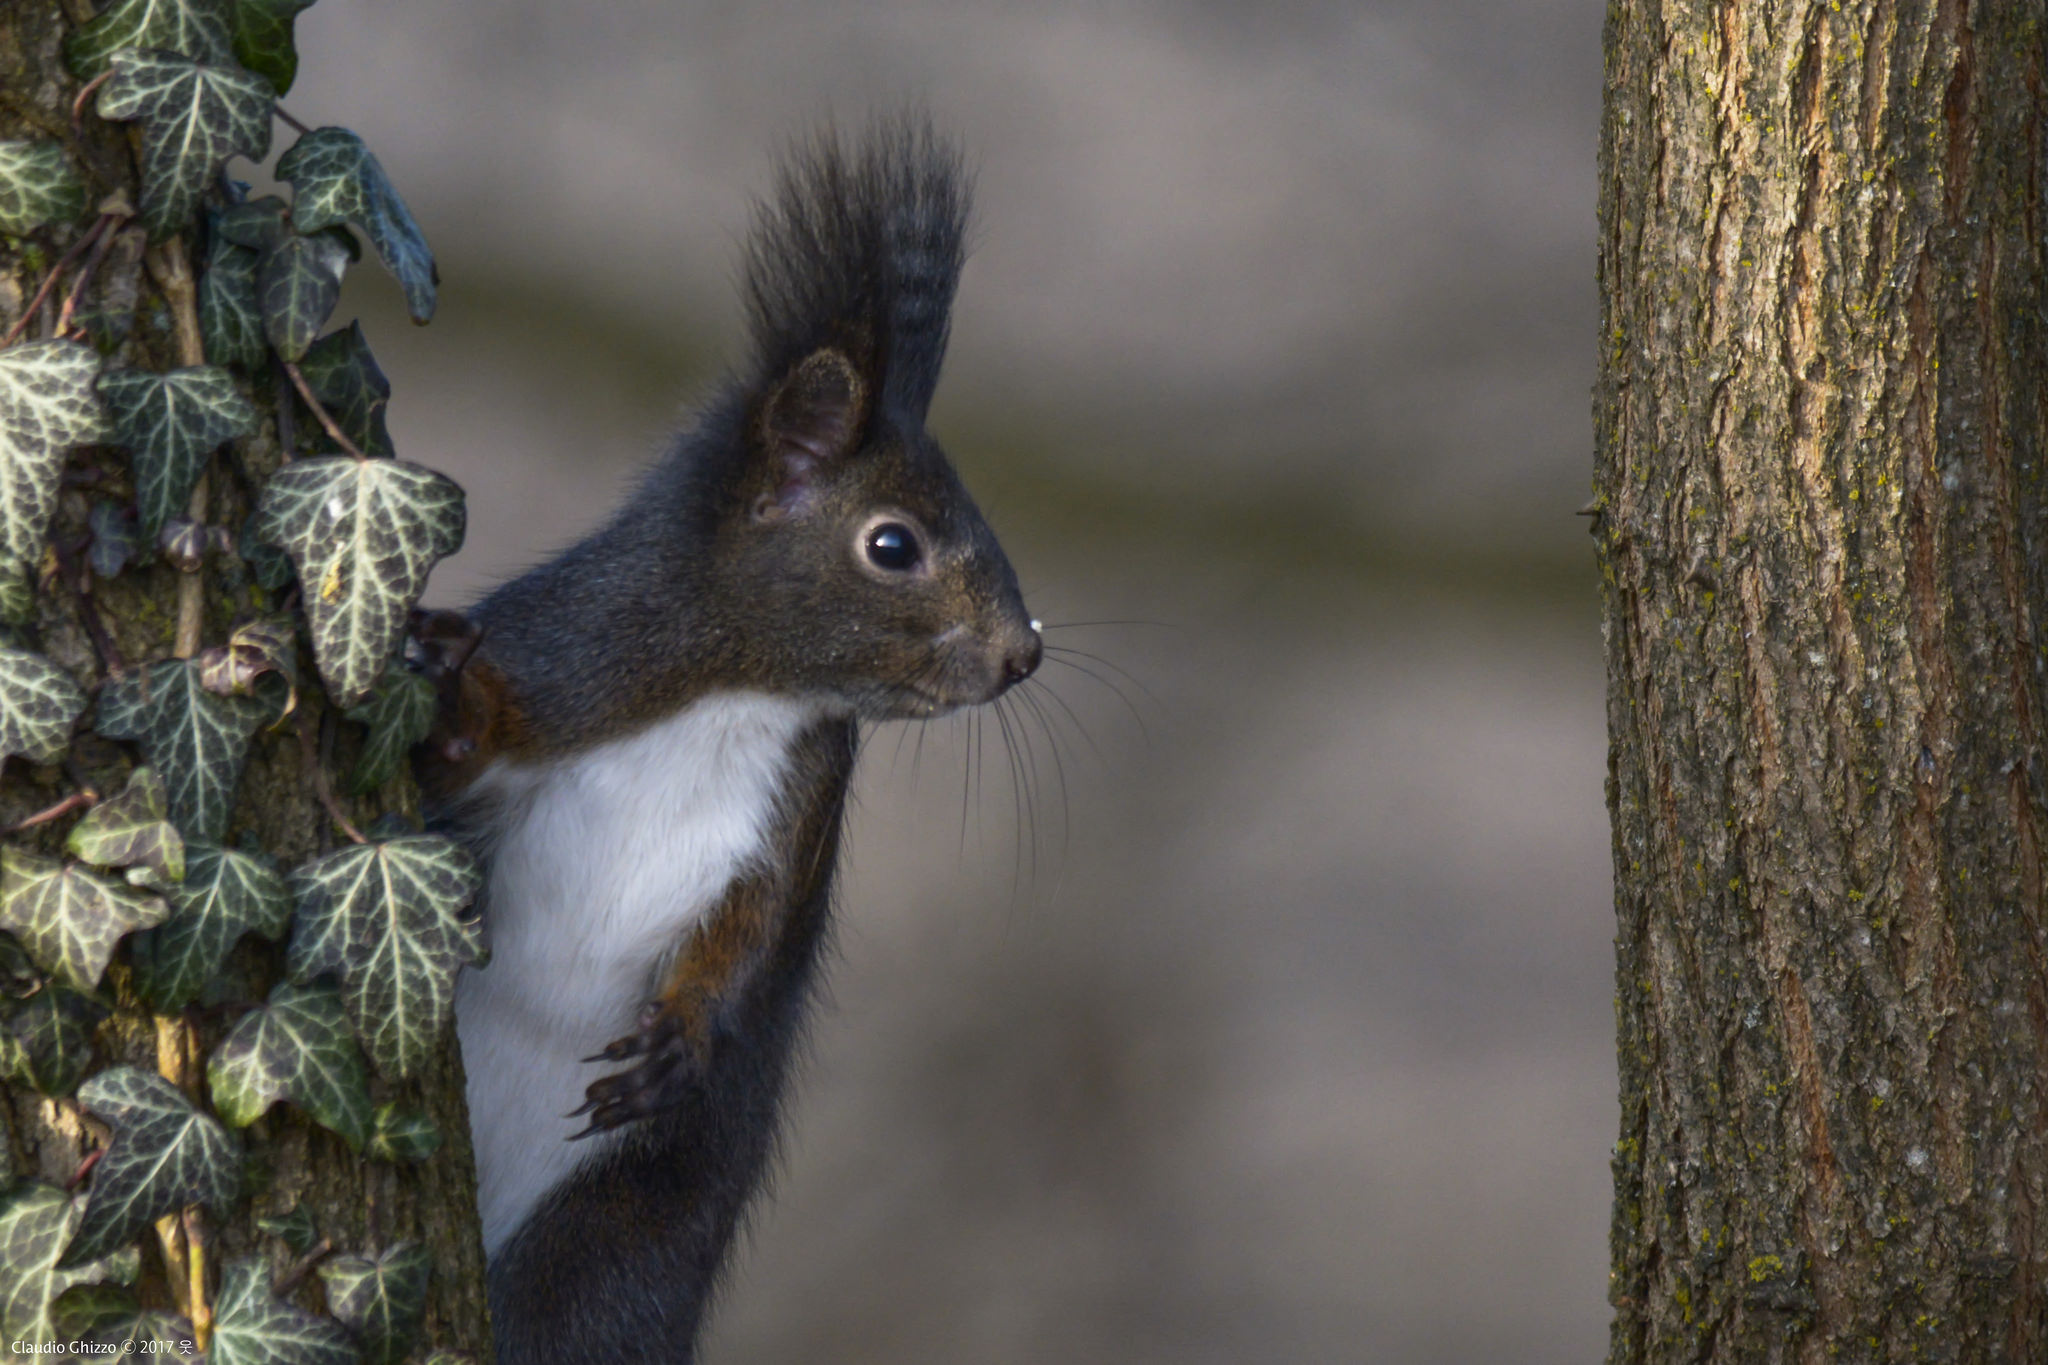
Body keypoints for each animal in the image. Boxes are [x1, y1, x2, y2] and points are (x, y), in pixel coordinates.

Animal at [414, 119, 1041, 1363]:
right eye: (891, 544)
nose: (1020, 656)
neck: (738, 695)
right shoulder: (574, 654)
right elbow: (456, 758)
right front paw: (448, 691)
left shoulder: (792, 812)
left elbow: (746, 934)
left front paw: (680, 1041)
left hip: (611, 1239)